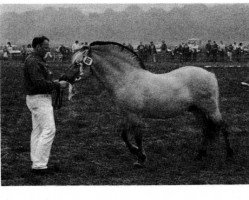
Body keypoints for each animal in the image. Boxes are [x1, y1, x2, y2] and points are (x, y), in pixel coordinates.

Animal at [59, 41, 233, 167]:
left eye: (77, 63)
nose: (63, 78)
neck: (126, 79)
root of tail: (210, 74)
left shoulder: (135, 115)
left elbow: (137, 137)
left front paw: (141, 158)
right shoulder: (127, 114)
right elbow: (124, 135)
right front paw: (137, 154)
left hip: (210, 109)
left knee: (223, 127)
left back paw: (229, 155)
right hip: (197, 111)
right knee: (206, 130)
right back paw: (199, 155)